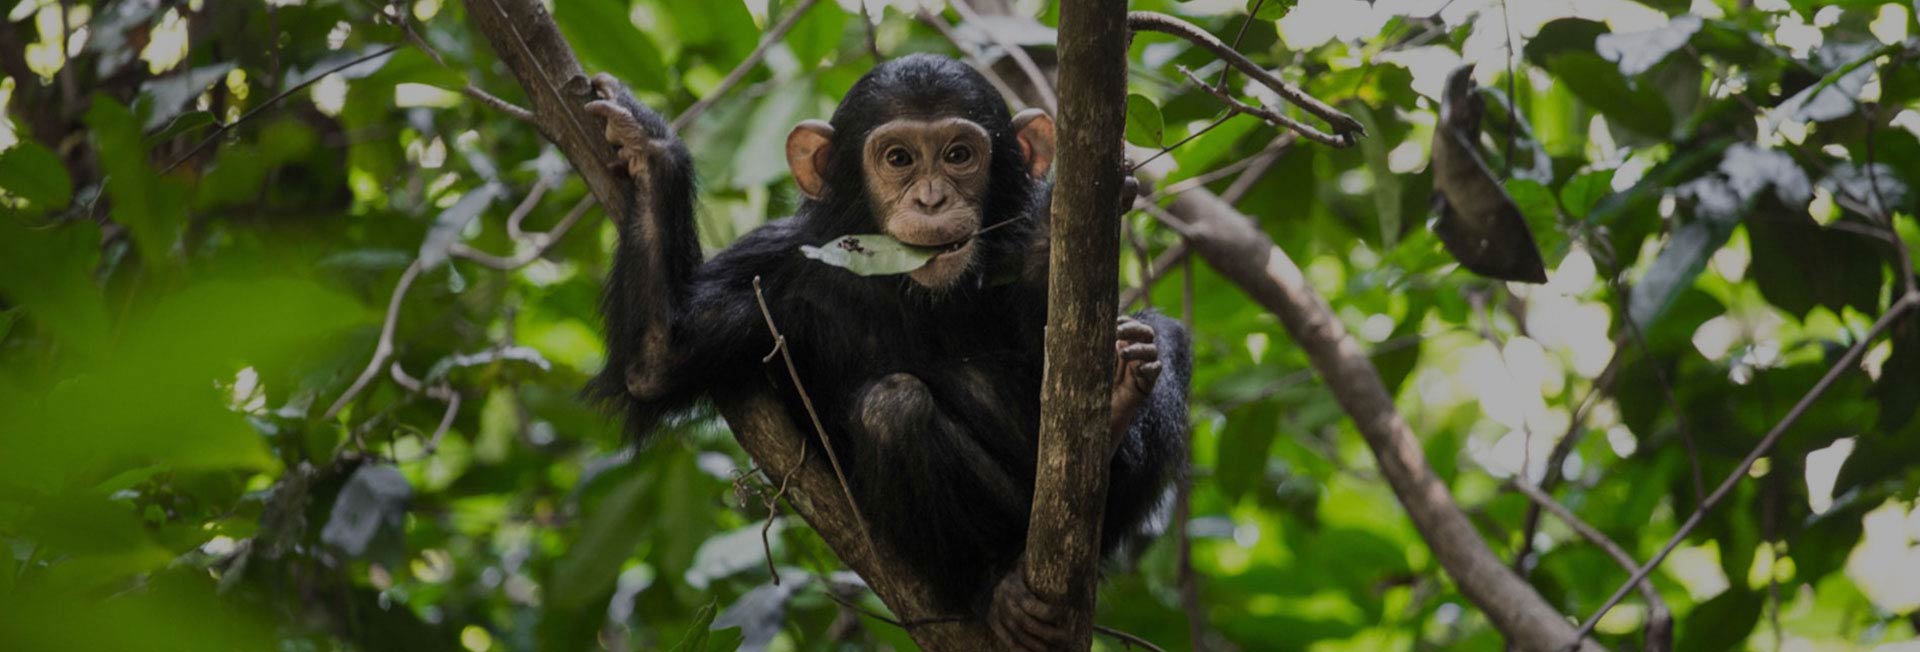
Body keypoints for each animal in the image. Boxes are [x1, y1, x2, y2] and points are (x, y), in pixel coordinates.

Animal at [576, 53, 1190, 648]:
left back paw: (1121, 395)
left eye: (959, 155)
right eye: (898, 158)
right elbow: (657, 359)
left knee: (1161, 335)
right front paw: (647, 146)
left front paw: (1050, 234)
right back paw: (997, 586)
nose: (932, 197)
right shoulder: (775, 265)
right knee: (893, 408)